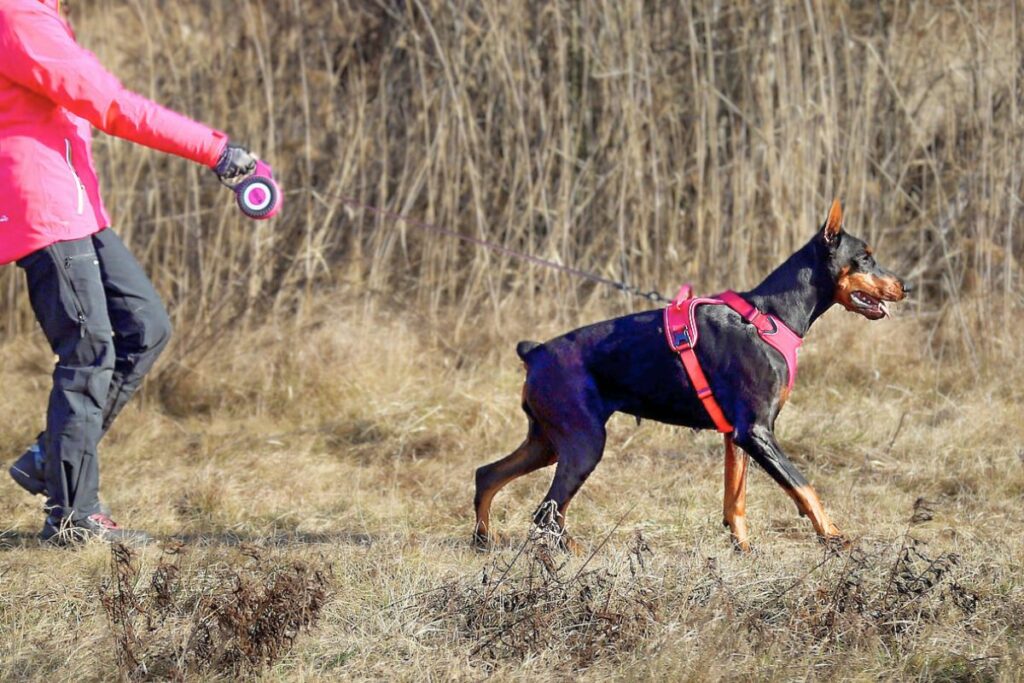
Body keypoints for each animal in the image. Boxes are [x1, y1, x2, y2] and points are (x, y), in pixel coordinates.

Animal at [475, 200, 909, 552]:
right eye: (865, 257)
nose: (906, 286)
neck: (771, 316)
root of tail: (535, 352)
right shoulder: (756, 430)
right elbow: (804, 486)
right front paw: (835, 537)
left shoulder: (738, 436)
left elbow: (735, 499)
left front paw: (744, 549)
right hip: (584, 444)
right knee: (545, 511)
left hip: (548, 443)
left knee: (489, 476)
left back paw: (485, 540)